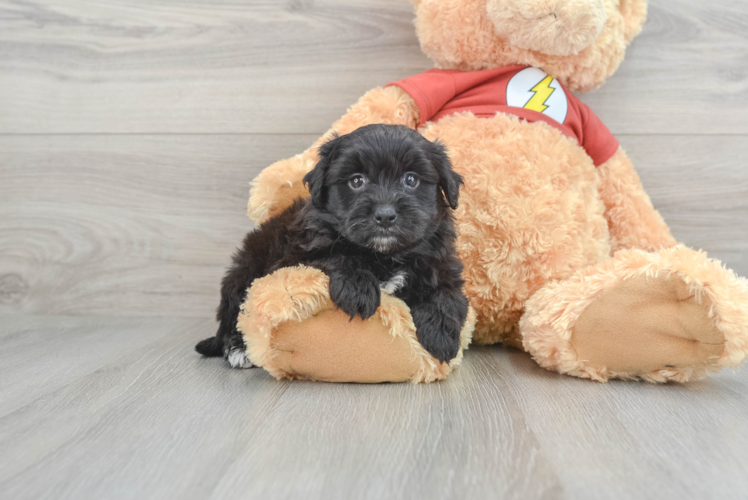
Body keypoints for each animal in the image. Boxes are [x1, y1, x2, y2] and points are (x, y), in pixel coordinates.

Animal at [197, 124, 468, 368]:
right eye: (356, 181)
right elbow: (335, 255)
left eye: (411, 179)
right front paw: (358, 289)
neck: (383, 254)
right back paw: (238, 348)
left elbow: (447, 294)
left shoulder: (442, 263)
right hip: (245, 269)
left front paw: (441, 335)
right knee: (234, 315)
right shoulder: (298, 253)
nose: (385, 215)